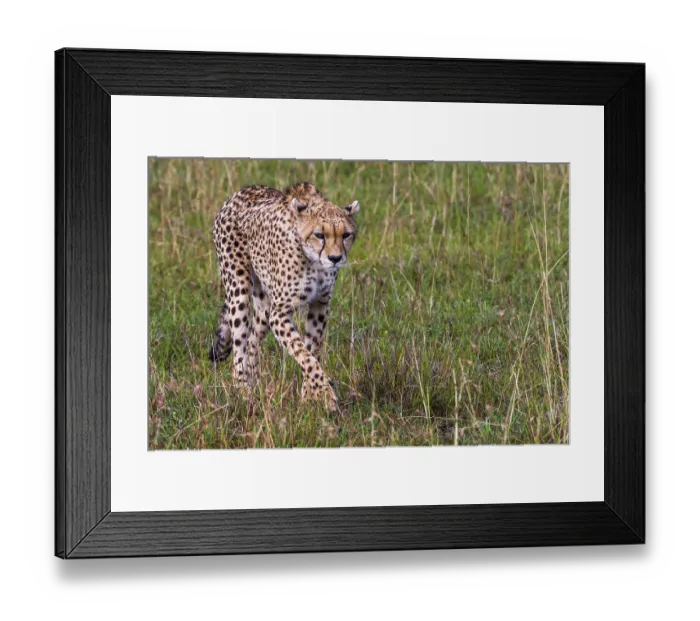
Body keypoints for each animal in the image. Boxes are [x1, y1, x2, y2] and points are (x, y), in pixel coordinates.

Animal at [208, 182, 360, 410]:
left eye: (346, 235)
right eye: (320, 235)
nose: (335, 258)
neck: (313, 261)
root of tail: (242, 191)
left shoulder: (320, 305)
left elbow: (311, 350)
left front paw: (309, 396)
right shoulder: (280, 313)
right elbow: (303, 354)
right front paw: (325, 394)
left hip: (264, 307)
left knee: (252, 341)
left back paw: (253, 384)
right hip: (239, 289)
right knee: (239, 346)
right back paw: (243, 392)